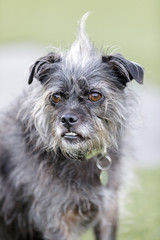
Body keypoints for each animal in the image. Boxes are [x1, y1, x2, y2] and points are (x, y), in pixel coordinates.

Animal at [0, 13, 142, 240]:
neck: (79, 157)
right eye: (56, 97)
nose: (67, 119)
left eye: (95, 95)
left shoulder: (108, 213)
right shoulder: (59, 221)